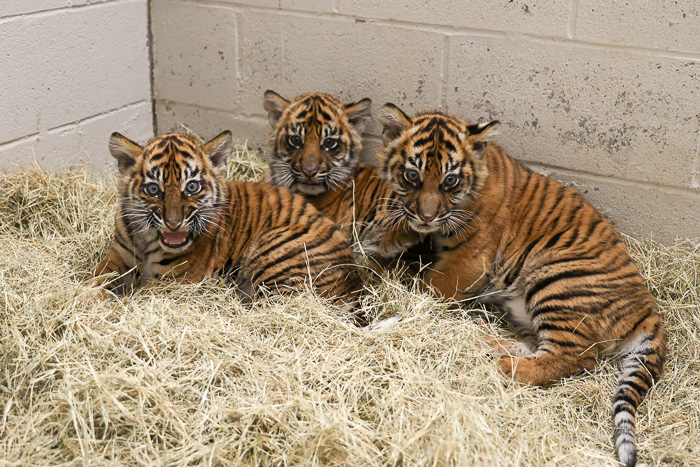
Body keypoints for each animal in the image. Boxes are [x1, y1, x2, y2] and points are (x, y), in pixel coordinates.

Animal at [93, 130, 363, 322]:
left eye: (192, 186)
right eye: (153, 189)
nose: (173, 223)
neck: (149, 239)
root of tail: (355, 282)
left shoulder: (176, 281)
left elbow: (144, 296)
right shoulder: (118, 255)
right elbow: (100, 277)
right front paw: (93, 296)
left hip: (273, 251)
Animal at [376, 104, 667, 467]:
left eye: (450, 181)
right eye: (411, 176)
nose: (426, 217)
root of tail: (649, 310)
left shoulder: (469, 261)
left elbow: (428, 287)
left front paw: (398, 295)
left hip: (556, 278)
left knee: (573, 358)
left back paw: (499, 367)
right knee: (536, 346)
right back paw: (482, 343)